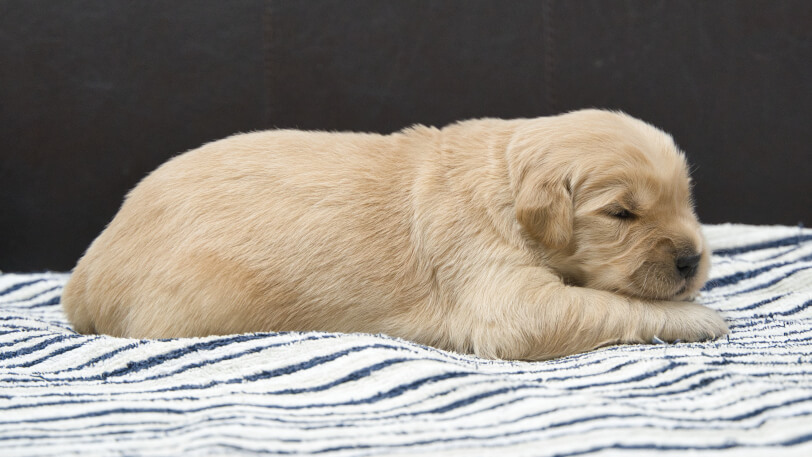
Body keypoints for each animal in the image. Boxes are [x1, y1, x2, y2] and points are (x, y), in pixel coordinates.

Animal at [60, 109, 728, 360]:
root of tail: (82, 276)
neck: (506, 182)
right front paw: (699, 317)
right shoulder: (503, 295)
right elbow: (602, 305)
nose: (691, 260)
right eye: (622, 214)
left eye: (686, 200)